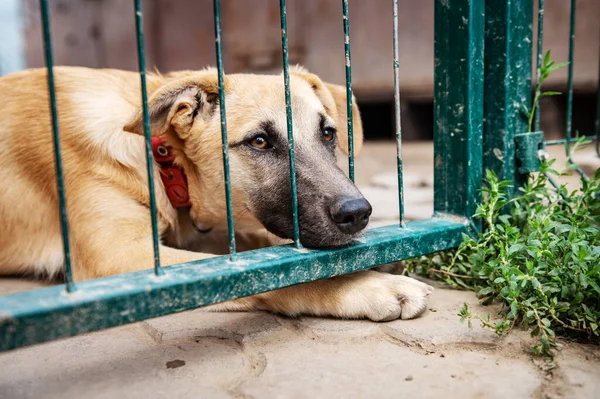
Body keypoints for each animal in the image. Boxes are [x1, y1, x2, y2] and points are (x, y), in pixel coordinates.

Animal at [0, 65, 432, 322]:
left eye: (328, 134)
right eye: (259, 141)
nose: (359, 213)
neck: (162, 159)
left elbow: (267, 246)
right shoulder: (119, 260)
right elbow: (274, 273)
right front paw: (365, 285)